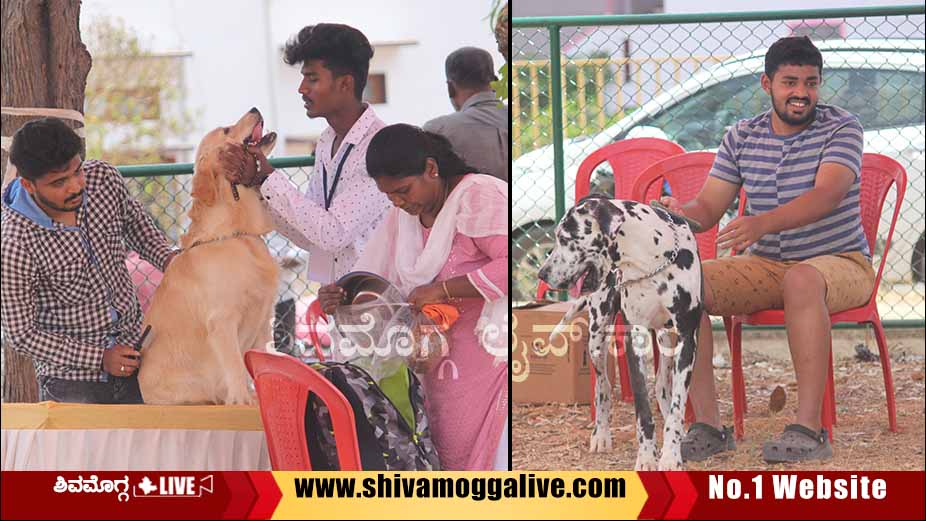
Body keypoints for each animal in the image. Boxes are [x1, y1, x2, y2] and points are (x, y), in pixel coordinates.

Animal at [139, 107, 280, 404]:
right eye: (226, 130)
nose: (254, 109)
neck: (236, 232)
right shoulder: (222, 320)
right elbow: (235, 367)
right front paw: (243, 401)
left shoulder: (264, 320)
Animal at [536, 193, 704, 470]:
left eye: (565, 237)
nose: (542, 273)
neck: (649, 260)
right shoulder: (634, 340)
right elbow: (642, 410)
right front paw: (646, 457)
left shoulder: (686, 338)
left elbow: (677, 406)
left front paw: (670, 455)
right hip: (596, 340)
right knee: (602, 387)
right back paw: (601, 434)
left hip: (666, 340)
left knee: (662, 385)